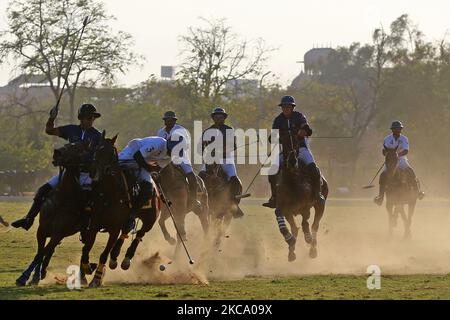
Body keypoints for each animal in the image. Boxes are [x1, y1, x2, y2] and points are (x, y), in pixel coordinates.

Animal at [15, 141, 91, 286]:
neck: (62, 199)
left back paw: (83, 277)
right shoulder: (41, 231)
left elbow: (42, 253)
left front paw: (25, 277)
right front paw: (34, 276)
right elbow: (40, 252)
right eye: (67, 144)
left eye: (76, 149)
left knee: (85, 247)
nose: (56, 153)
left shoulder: (57, 234)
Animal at [81, 132, 162, 288]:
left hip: (150, 220)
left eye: (110, 153)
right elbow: (86, 248)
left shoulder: (113, 229)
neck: (110, 194)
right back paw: (115, 257)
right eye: (96, 150)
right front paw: (87, 267)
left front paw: (96, 279)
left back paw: (125, 259)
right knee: (127, 229)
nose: (93, 171)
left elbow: (103, 254)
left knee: (140, 234)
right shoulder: (94, 225)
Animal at [272, 134, 328, 262]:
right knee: (295, 228)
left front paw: (308, 238)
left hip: (320, 204)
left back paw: (312, 248)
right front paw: (289, 239)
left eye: (296, 139)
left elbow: (306, 221)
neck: (292, 181)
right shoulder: (284, 208)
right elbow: (279, 216)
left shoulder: (305, 206)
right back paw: (291, 252)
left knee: (314, 225)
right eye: (283, 139)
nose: (293, 161)